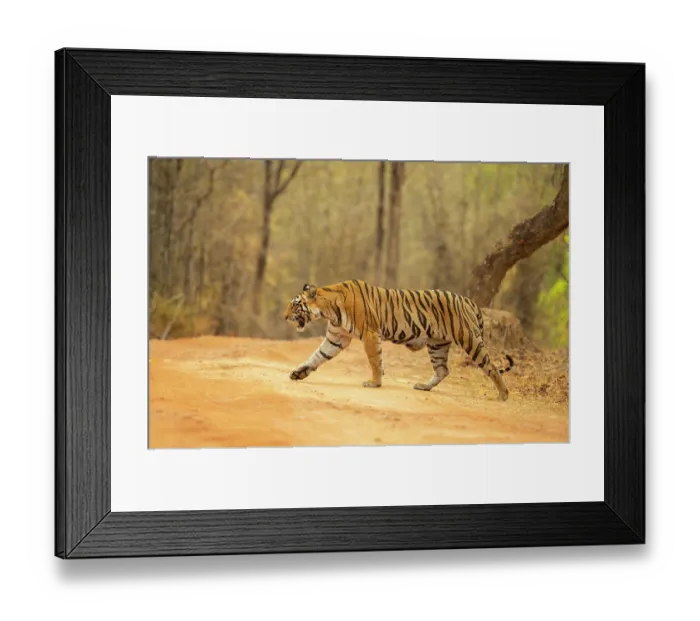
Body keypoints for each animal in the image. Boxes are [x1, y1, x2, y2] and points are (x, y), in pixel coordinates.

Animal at [283, 279, 514, 401]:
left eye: (295, 306)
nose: (284, 317)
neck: (328, 309)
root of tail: (468, 300)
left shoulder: (370, 333)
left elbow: (375, 360)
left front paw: (374, 383)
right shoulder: (336, 337)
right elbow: (317, 356)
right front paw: (298, 373)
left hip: (468, 339)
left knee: (491, 366)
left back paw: (503, 395)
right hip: (437, 344)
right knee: (442, 370)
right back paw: (424, 387)